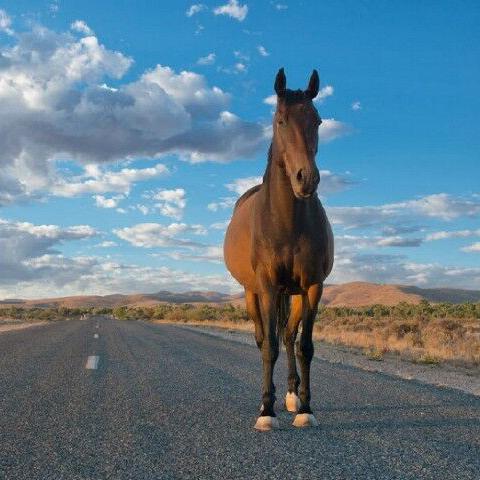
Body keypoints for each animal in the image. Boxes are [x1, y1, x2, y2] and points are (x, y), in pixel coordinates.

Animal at [224, 68, 334, 432]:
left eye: (317, 120)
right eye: (281, 120)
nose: (306, 179)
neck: (287, 222)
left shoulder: (313, 286)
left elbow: (305, 346)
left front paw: (306, 408)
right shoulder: (269, 286)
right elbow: (268, 347)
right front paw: (266, 411)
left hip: (296, 294)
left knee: (287, 336)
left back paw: (291, 395)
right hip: (252, 292)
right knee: (264, 339)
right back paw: (268, 398)